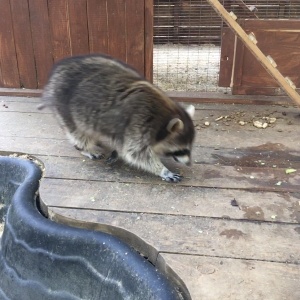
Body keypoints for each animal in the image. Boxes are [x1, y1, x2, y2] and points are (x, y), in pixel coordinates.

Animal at [40, 54, 195, 183]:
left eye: (189, 148)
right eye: (181, 150)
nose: (189, 164)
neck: (163, 116)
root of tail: (56, 74)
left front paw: (117, 152)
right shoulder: (139, 121)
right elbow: (136, 153)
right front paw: (163, 170)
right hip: (65, 107)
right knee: (78, 132)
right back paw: (85, 147)